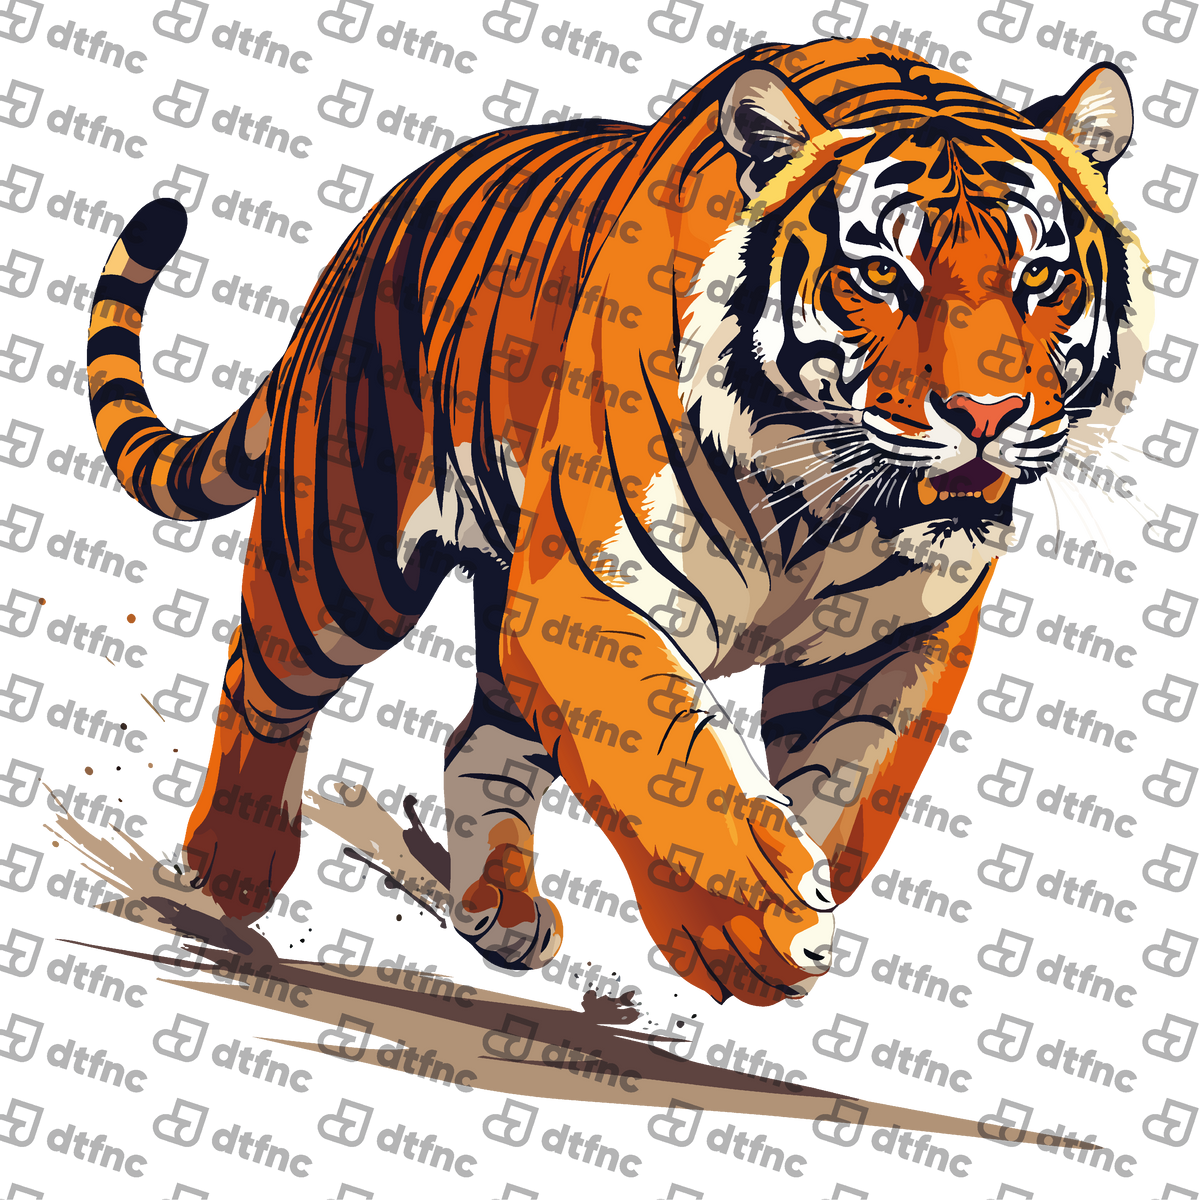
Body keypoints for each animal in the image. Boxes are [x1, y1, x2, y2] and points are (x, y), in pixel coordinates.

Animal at [83, 34, 1158, 1011]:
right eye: (883, 276)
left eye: (1041, 278)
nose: (987, 414)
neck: (825, 508)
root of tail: (371, 226)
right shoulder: (592, 590)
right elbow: (667, 759)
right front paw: (757, 925)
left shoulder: (905, 639)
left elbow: (852, 794)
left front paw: (804, 888)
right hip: (347, 548)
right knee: (265, 675)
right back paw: (233, 864)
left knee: (479, 735)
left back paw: (500, 908)